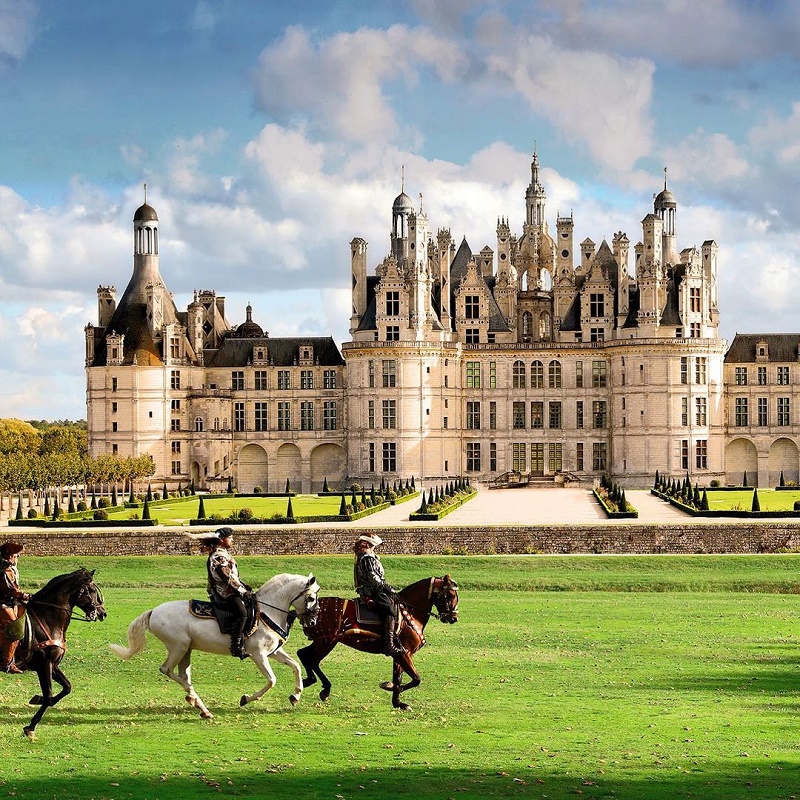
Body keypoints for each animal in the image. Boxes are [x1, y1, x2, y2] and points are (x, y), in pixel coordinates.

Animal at [10, 568, 107, 736]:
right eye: (93, 590)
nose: (102, 613)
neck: (47, 620)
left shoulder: (53, 666)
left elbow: (67, 687)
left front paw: (37, 699)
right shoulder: (44, 666)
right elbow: (49, 696)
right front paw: (31, 725)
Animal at [108, 576, 318, 720]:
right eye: (311, 598)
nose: (313, 621)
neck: (266, 612)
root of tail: (153, 612)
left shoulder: (273, 652)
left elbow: (295, 666)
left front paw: (296, 695)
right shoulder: (258, 655)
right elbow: (272, 680)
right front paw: (246, 699)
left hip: (186, 650)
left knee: (183, 675)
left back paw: (198, 704)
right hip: (178, 647)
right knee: (167, 670)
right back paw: (195, 699)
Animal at [296, 576, 456, 712]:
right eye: (450, 595)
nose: (454, 618)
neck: (410, 612)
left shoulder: (399, 655)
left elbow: (398, 677)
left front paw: (398, 702)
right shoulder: (404, 653)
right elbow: (416, 679)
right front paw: (389, 687)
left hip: (323, 641)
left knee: (303, 654)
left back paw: (309, 683)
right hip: (327, 641)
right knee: (311, 659)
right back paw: (321, 688)